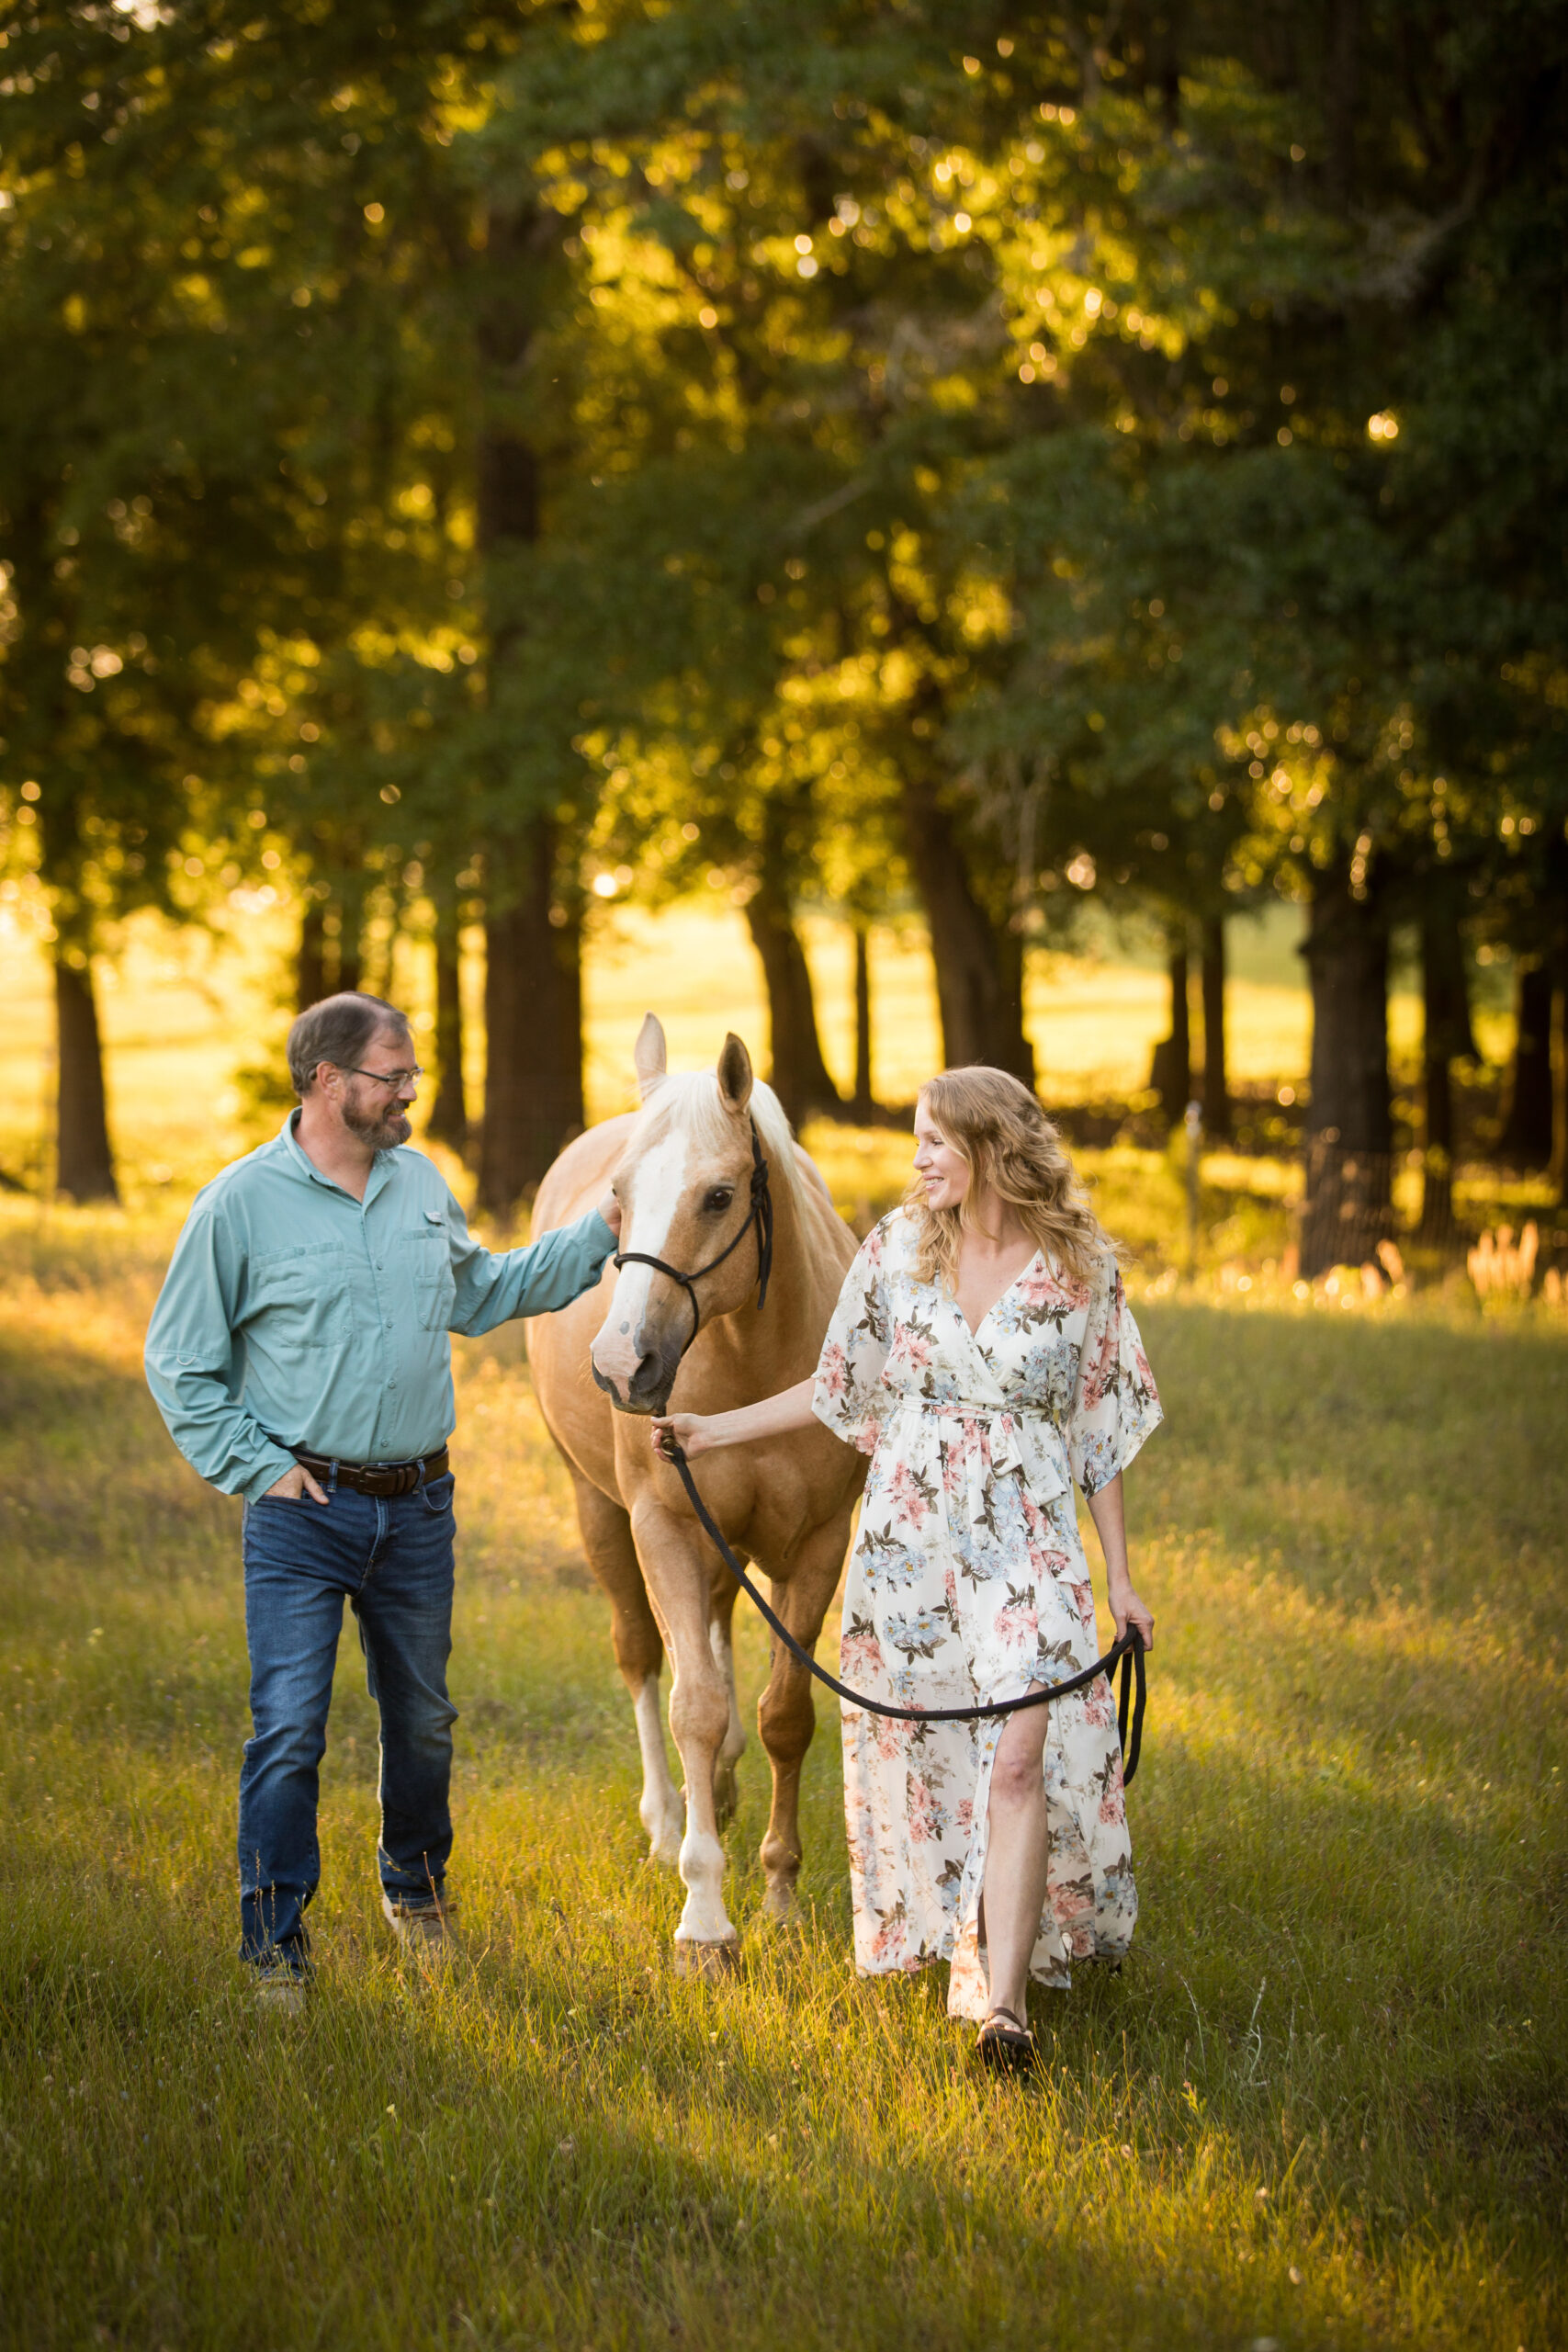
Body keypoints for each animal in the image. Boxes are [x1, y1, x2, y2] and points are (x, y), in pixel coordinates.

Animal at [531, 1011, 869, 1966]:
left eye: (718, 1197)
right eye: (617, 1195)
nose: (622, 1364)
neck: (750, 1354)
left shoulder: (818, 1543)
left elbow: (783, 1714)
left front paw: (780, 1897)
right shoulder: (665, 1529)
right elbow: (693, 1706)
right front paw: (705, 1922)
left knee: (713, 1643)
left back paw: (715, 1794)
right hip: (600, 1514)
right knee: (646, 1655)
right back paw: (666, 1819)